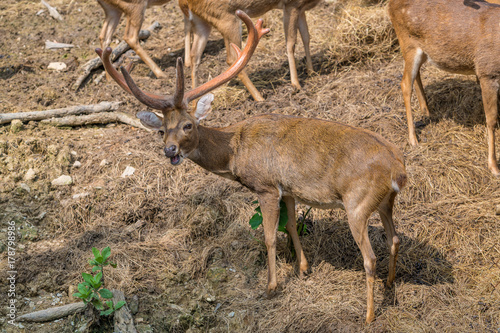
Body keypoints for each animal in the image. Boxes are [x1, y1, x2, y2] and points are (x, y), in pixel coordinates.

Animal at [178, 0, 322, 100]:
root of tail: (186, 3)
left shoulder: (301, 8)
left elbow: (306, 36)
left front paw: (311, 71)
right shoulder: (292, 5)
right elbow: (291, 43)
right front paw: (296, 85)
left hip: (202, 23)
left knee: (195, 55)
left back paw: (193, 104)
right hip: (227, 20)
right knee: (233, 59)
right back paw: (260, 98)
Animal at [386, 0, 500, 175]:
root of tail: (389, 5)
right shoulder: (487, 71)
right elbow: (491, 119)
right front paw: (493, 166)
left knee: (415, 75)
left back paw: (427, 111)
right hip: (408, 42)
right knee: (405, 83)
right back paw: (413, 139)